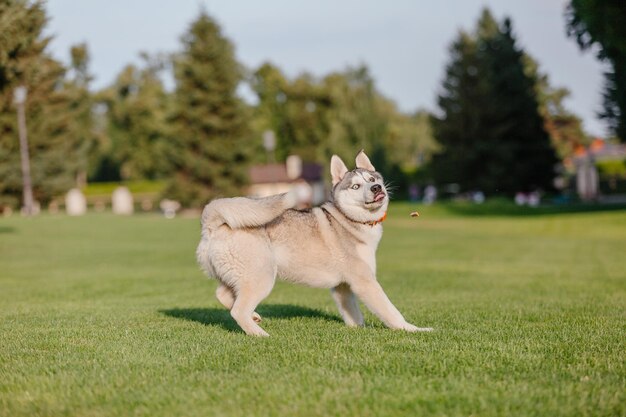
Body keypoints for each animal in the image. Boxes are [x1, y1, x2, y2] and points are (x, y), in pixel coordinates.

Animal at [195, 150, 428, 334]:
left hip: (240, 276)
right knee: (238, 310)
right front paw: (413, 329)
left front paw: (358, 330)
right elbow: (390, 311)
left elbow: (354, 315)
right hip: (261, 276)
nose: (377, 188)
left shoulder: (343, 287)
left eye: (372, 179)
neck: (350, 221)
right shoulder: (365, 282)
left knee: (222, 295)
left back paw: (255, 317)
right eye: (355, 186)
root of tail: (214, 223)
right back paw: (260, 334)